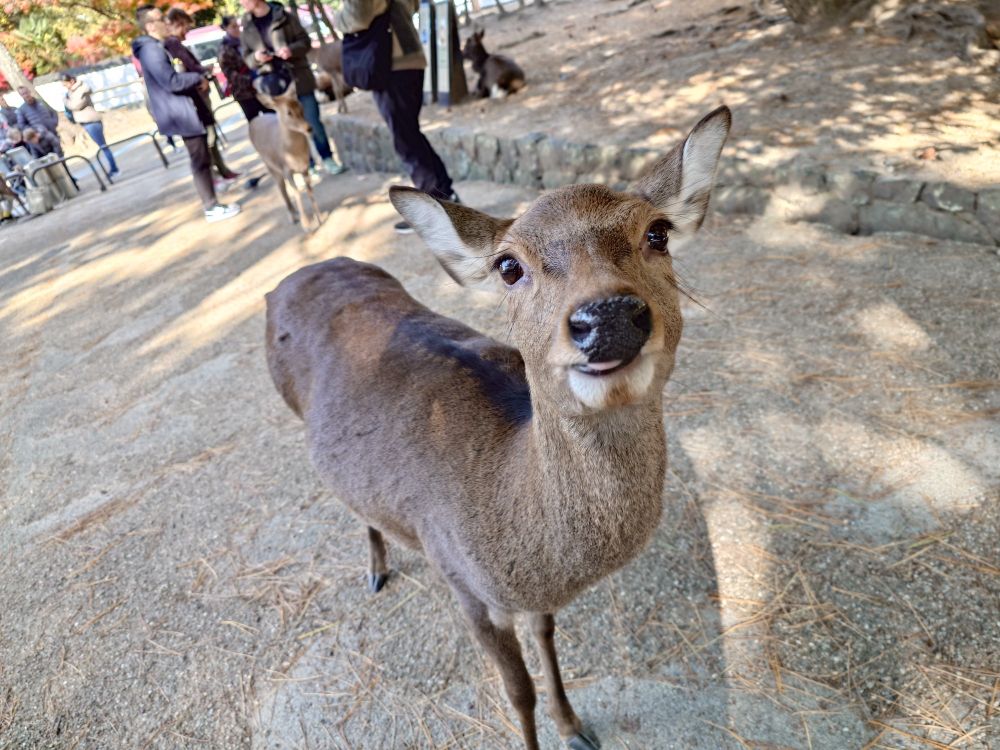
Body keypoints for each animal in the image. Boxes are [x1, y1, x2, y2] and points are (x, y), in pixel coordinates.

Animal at [248, 81, 323, 232]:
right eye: (288, 112)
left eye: (300, 105)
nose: (309, 128)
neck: (294, 154)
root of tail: (253, 122)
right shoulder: (286, 169)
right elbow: (297, 193)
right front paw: (307, 226)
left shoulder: (305, 167)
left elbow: (309, 190)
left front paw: (320, 218)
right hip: (271, 166)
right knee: (281, 188)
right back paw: (292, 217)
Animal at [264, 106, 732, 750]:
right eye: (509, 266)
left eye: (658, 233)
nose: (606, 316)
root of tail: (289, 276)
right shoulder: (462, 580)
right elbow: (517, 691)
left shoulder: (533, 598)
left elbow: (547, 643)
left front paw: (576, 728)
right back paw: (377, 571)